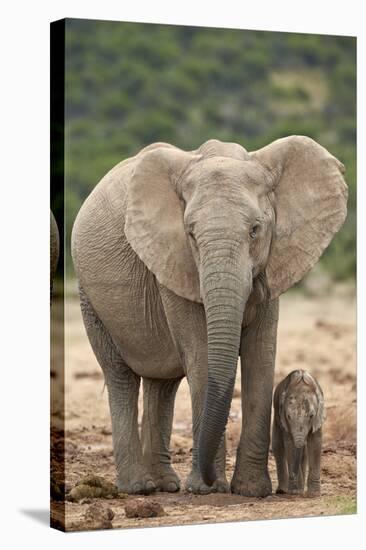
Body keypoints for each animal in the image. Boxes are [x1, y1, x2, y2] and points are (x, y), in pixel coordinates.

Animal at [71, 136, 346, 498]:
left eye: (255, 230)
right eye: (190, 234)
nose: (213, 479)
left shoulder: (271, 263)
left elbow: (262, 353)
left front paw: (251, 491)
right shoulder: (174, 261)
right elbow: (201, 354)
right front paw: (208, 489)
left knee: (162, 383)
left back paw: (166, 485)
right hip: (89, 296)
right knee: (121, 375)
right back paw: (140, 488)